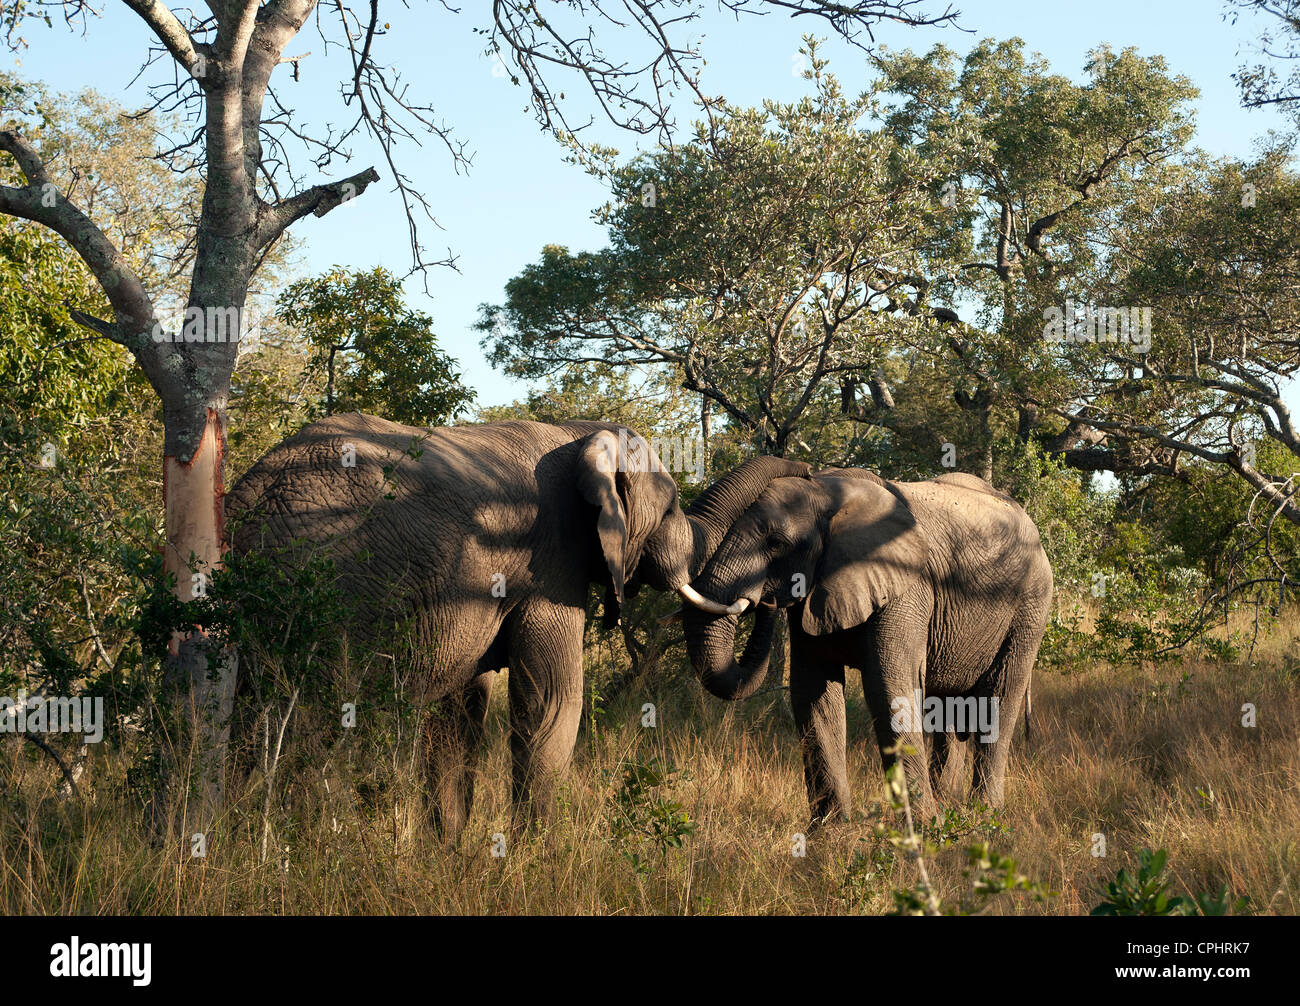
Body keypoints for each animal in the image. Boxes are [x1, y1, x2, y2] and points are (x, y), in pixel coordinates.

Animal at [225, 411, 809, 841]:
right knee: (315, 728)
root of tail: (250, 498)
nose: (802, 467)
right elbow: (554, 701)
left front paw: (449, 859)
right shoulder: (549, 562)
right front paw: (536, 862)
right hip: (330, 582)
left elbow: (461, 712)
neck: (578, 435)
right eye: (669, 510)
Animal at [676, 466, 1053, 823]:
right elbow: (813, 693)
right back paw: (949, 810)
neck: (832, 495)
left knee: (998, 701)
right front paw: (829, 832)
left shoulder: (904, 588)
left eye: (776, 543)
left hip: (1030, 608)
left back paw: (983, 816)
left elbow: (888, 688)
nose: (764, 601)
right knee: (949, 707)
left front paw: (922, 831)